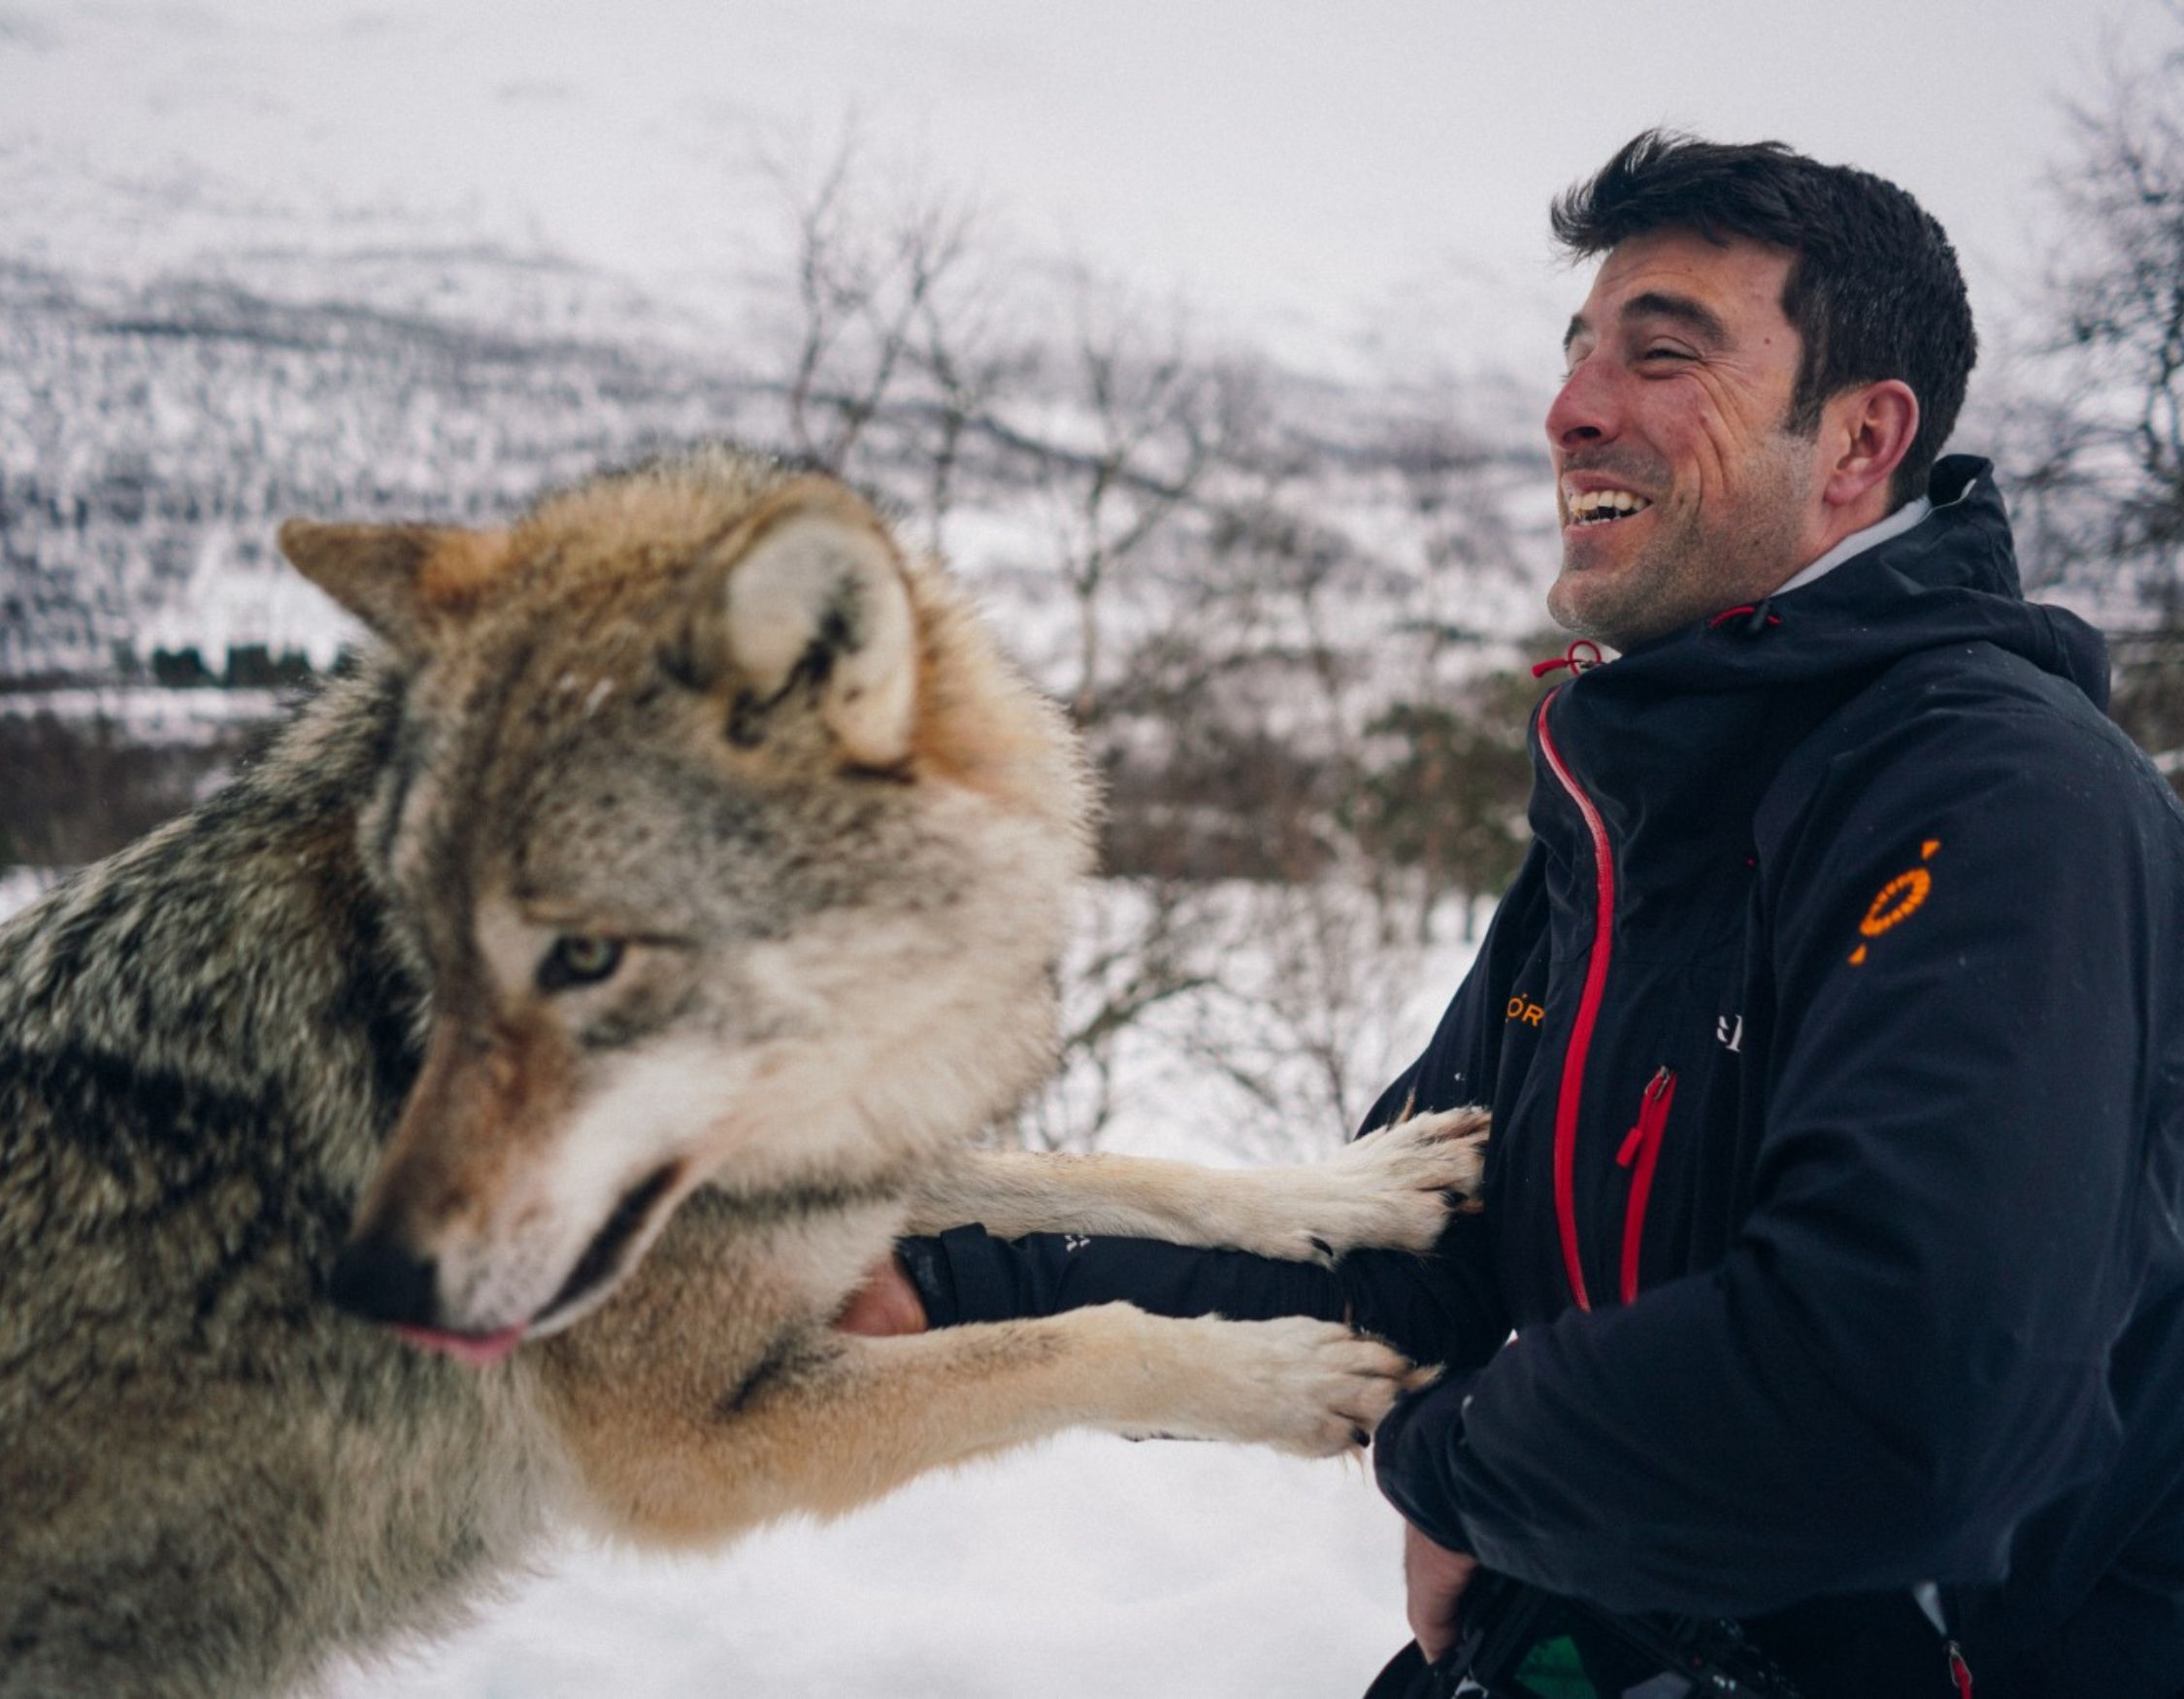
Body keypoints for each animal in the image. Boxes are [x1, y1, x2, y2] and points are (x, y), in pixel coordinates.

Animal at [0, 446, 1486, 1697]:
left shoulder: (858, 1166)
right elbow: (1064, 1337)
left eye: (585, 955)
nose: (371, 1285)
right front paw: (1283, 1378)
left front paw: (1356, 1188)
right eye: (429, 948)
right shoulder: (682, 1449)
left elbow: (1121, 1177)